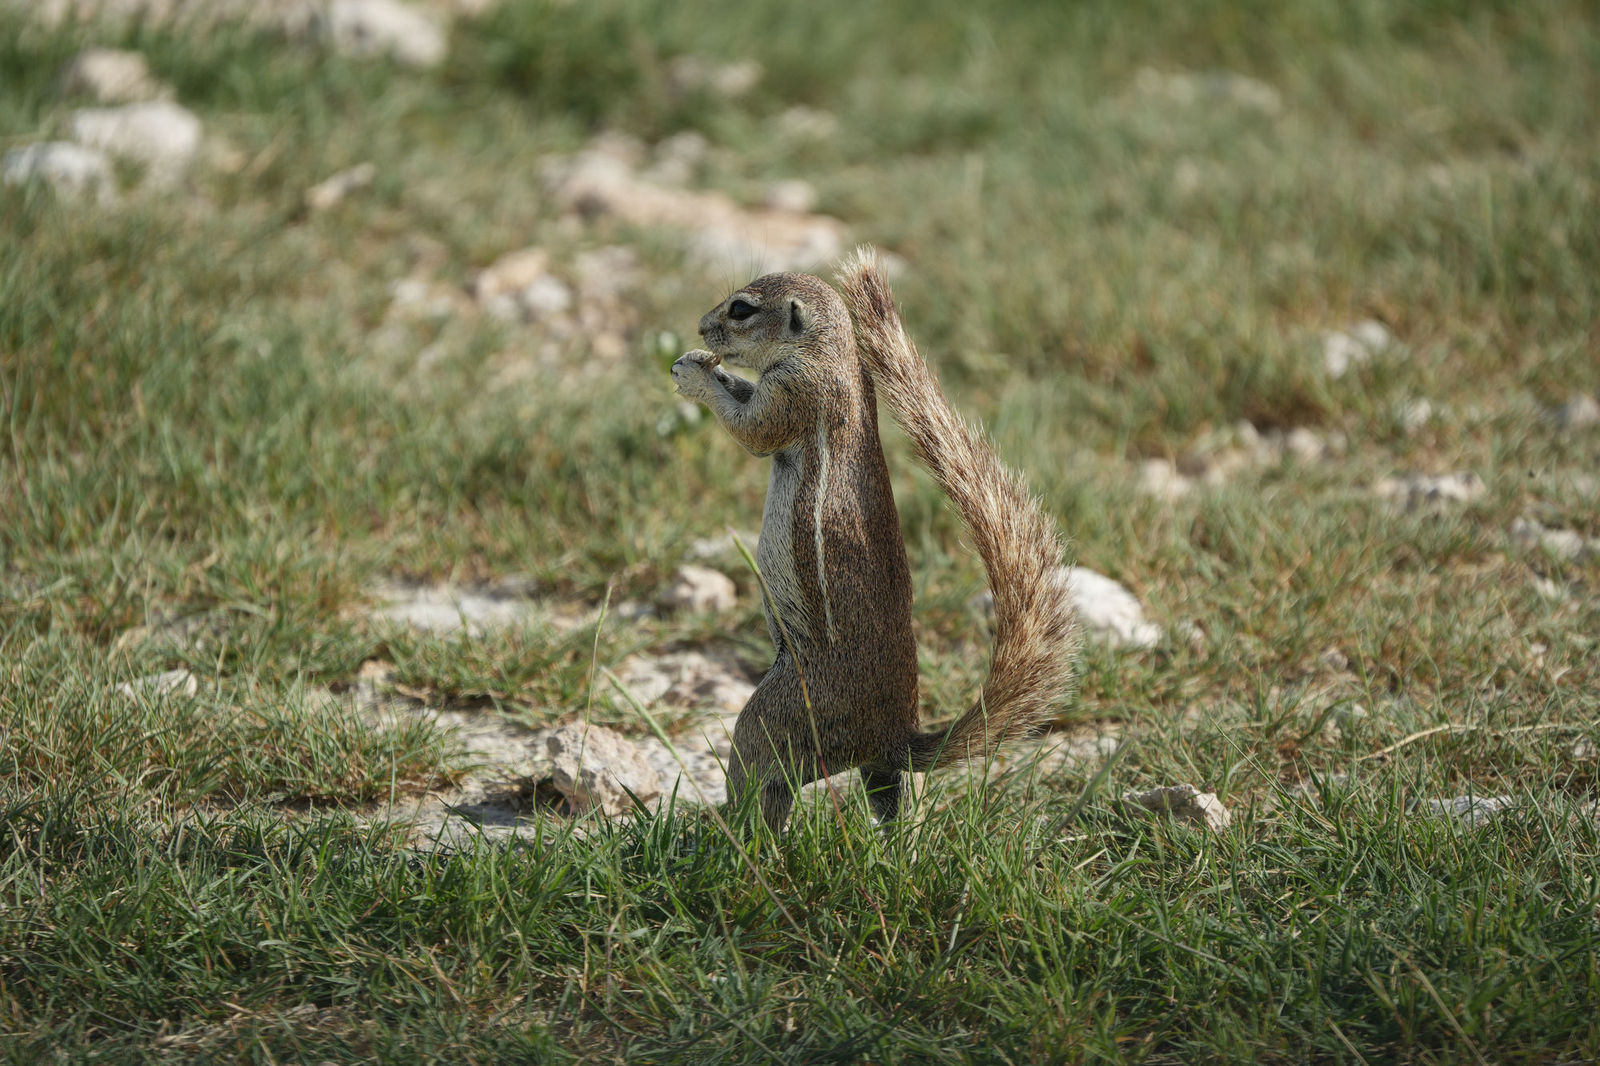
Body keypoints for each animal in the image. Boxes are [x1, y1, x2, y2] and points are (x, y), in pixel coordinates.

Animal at [670, 247, 1079, 830]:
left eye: (742, 309)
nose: (702, 327)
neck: (826, 348)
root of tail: (895, 735)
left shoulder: (795, 390)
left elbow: (752, 428)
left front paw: (694, 373)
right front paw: (703, 362)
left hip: (781, 715)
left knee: (762, 778)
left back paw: (732, 832)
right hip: (875, 771)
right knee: (889, 801)